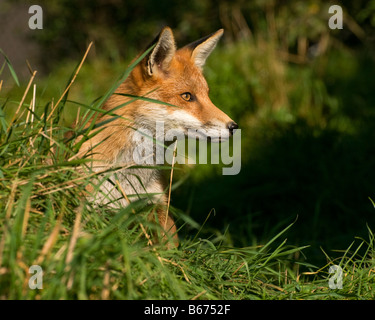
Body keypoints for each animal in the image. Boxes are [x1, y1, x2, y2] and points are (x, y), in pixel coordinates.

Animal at [78, 27, 239, 248]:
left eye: (207, 95)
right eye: (187, 96)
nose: (234, 127)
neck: (131, 176)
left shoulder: (157, 205)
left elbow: (169, 246)